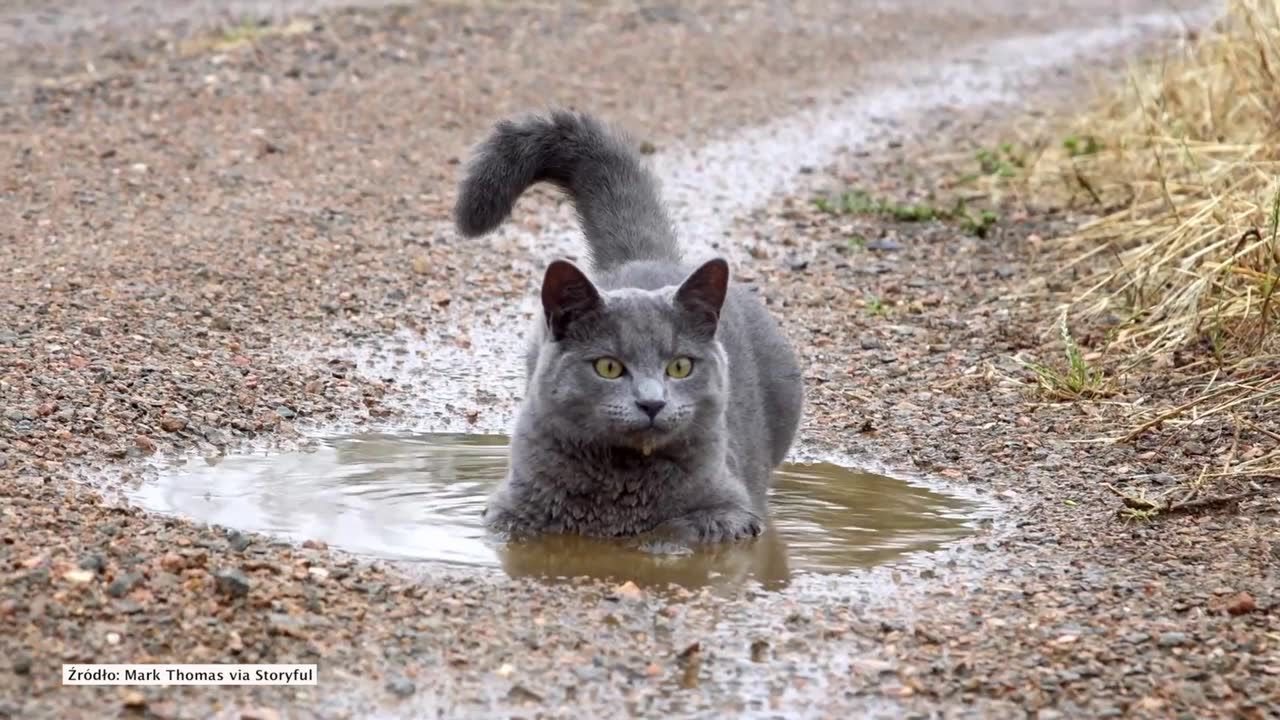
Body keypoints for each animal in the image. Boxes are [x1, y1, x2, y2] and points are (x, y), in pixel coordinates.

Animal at [458, 109, 798, 540]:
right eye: (608, 366)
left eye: (680, 366)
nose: (652, 402)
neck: (621, 486)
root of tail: (646, 257)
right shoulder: (508, 510)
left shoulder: (733, 511)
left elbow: (682, 530)